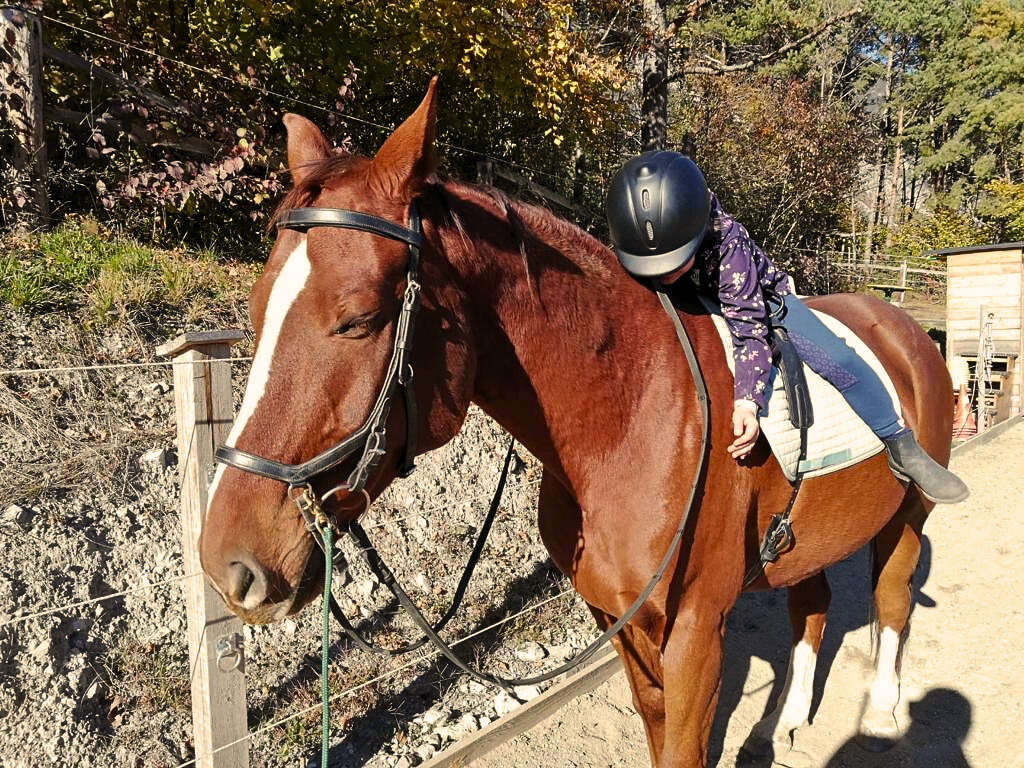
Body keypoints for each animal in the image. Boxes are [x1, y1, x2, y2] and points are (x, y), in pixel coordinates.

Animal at [200, 79, 952, 767]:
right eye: (258, 309)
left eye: (357, 319)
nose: (227, 563)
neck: (629, 421)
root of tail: (906, 324)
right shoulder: (619, 620)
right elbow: (657, 729)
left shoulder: (696, 631)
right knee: (813, 602)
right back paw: (788, 719)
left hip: (906, 517)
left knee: (891, 597)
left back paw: (882, 715)